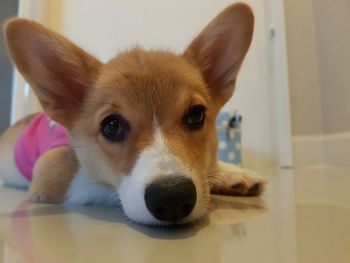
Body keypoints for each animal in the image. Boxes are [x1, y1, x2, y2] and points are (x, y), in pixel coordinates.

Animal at [0, 3, 266, 227]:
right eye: (112, 126)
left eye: (196, 115)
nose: (173, 198)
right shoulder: (49, 173)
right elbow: (101, 185)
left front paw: (233, 172)